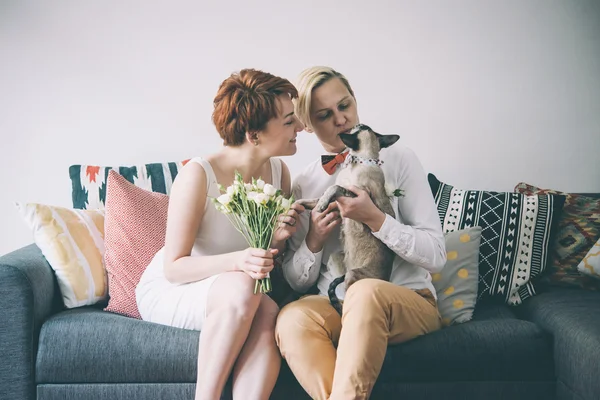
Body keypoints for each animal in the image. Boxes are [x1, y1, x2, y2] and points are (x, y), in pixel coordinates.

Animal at [296, 123, 398, 314]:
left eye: (363, 127)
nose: (357, 124)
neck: (358, 162)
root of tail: (387, 280)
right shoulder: (337, 205)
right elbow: (312, 200)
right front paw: (295, 206)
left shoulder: (352, 196)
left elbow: (333, 188)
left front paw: (320, 206)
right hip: (335, 259)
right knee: (338, 289)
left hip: (353, 276)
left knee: (346, 301)